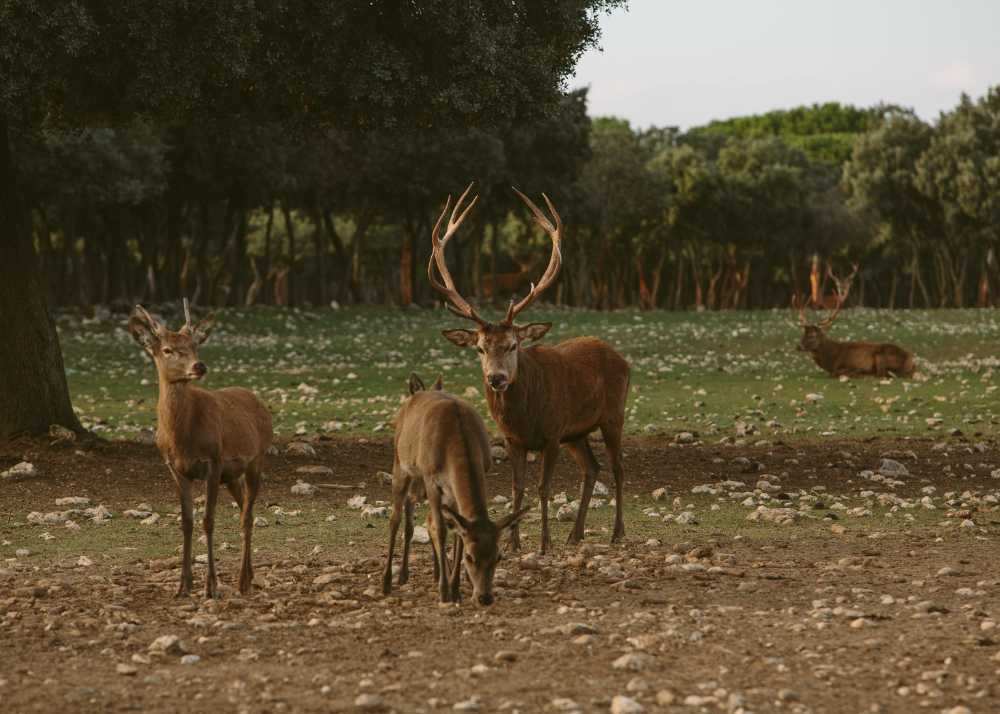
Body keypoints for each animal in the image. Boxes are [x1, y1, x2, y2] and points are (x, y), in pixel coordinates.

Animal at [128, 300, 274, 596]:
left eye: (195, 345)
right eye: (167, 349)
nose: (199, 365)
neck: (182, 439)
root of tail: (258, 401)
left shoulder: (213, 461)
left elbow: (208, 520)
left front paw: (211, 586)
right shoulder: (175, 468)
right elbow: (186, 522)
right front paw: (183, 586)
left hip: (257, 458)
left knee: (247, 515)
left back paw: (243, 580)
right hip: (231, 475)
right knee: (245, 510)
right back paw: (249, 575)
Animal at [380, 372, 528, 600]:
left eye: (498, 556)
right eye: (470, 556)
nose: (485, 597)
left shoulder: (477, 474)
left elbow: (458, 530)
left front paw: (456, 588)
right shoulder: (431, 479)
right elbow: (440, 529)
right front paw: (444, 591)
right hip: (401, 465)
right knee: (395, 519)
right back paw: (387, 582)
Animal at [430, 182, 632, 552]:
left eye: (513, 345)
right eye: (480, 348)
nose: (496, 378)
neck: (525, 416)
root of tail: (621, 358)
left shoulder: (552, 432)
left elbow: (543, 487)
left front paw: (544, 542)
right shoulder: (514, 439)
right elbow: (517, 487)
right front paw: (512, 542)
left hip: (613, 414)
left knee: (618, 466)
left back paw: (617, 532)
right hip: (576, 433)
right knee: (593, 468)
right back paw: (576, 533)